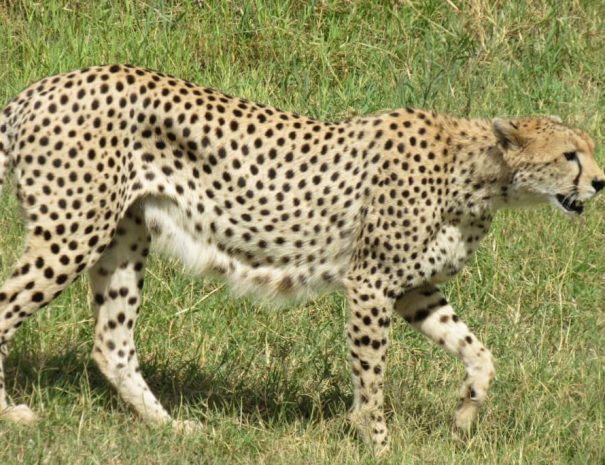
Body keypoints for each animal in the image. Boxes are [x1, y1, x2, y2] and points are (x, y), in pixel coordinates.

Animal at [1, 64, 604, 450]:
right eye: (569, 155)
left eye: (590, 151)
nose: (600, 182)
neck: (482, 176)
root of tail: (41, 87)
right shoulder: (370, 283)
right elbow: (372, 377)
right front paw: (379, 444)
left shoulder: (412, 288)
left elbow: (477, 349)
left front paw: (466, 410)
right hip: (71, 233)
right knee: (10, 307)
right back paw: (11, 413)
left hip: (124, 238)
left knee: (113, 343)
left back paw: (171, 428)